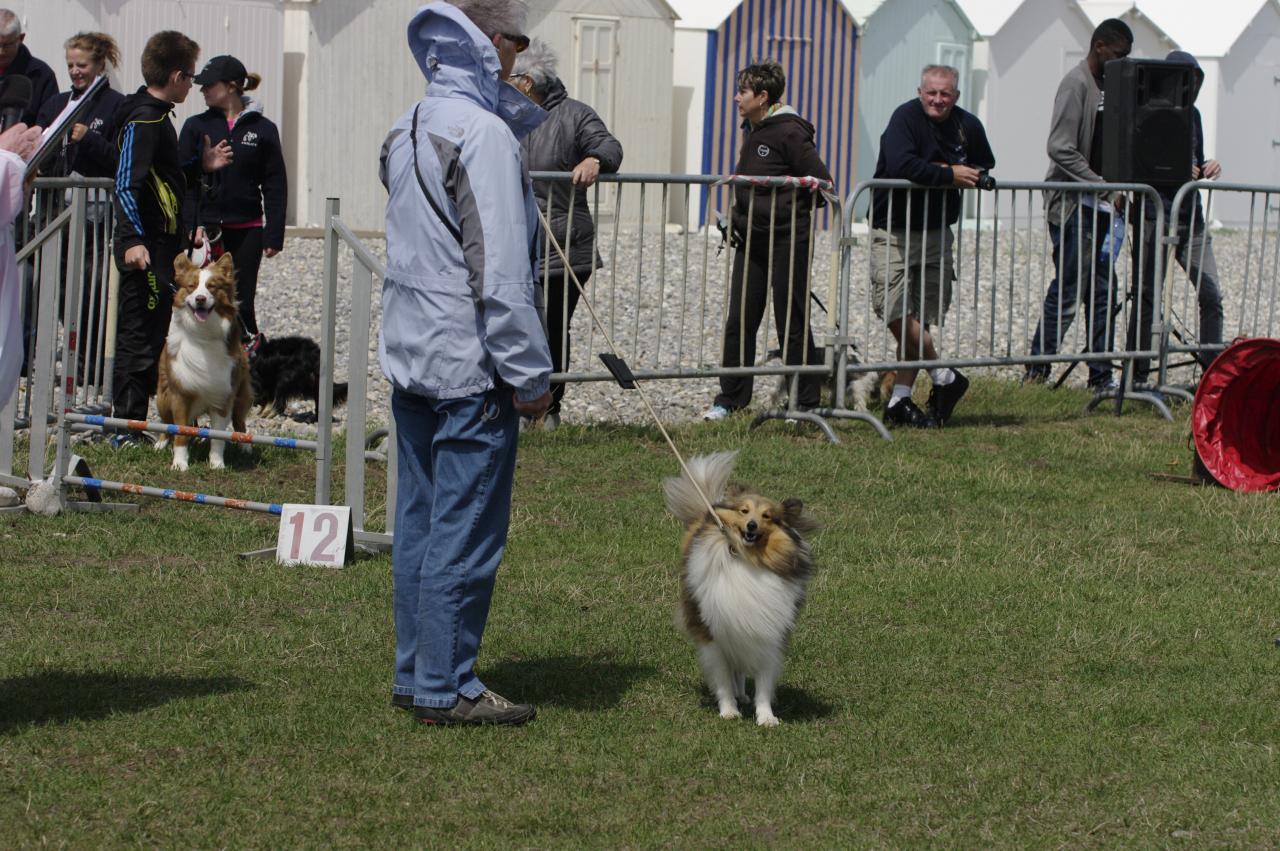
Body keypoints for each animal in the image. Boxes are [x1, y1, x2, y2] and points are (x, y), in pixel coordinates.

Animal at [154, 252, 252, 470]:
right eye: (191, 286)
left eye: (212, 287)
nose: (200, 299)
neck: (203, 333)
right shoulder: (180, 393)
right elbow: (180, 432)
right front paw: (179, 464)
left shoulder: (223, 395)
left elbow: (218, 437)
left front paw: (217, 464)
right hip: (162, 396)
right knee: (166, 423)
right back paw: (161, 444)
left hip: (241, 393)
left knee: (240, 422)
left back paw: (244, 445)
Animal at [665, 450, 814, 721]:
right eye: (744, 511)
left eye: (767, 516)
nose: (752, 526)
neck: (747, 558)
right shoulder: (713, 634)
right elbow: (723, 678)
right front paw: (729, 712)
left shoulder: (767, 633)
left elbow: (763, 682)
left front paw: (766, 717)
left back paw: (743, 694)